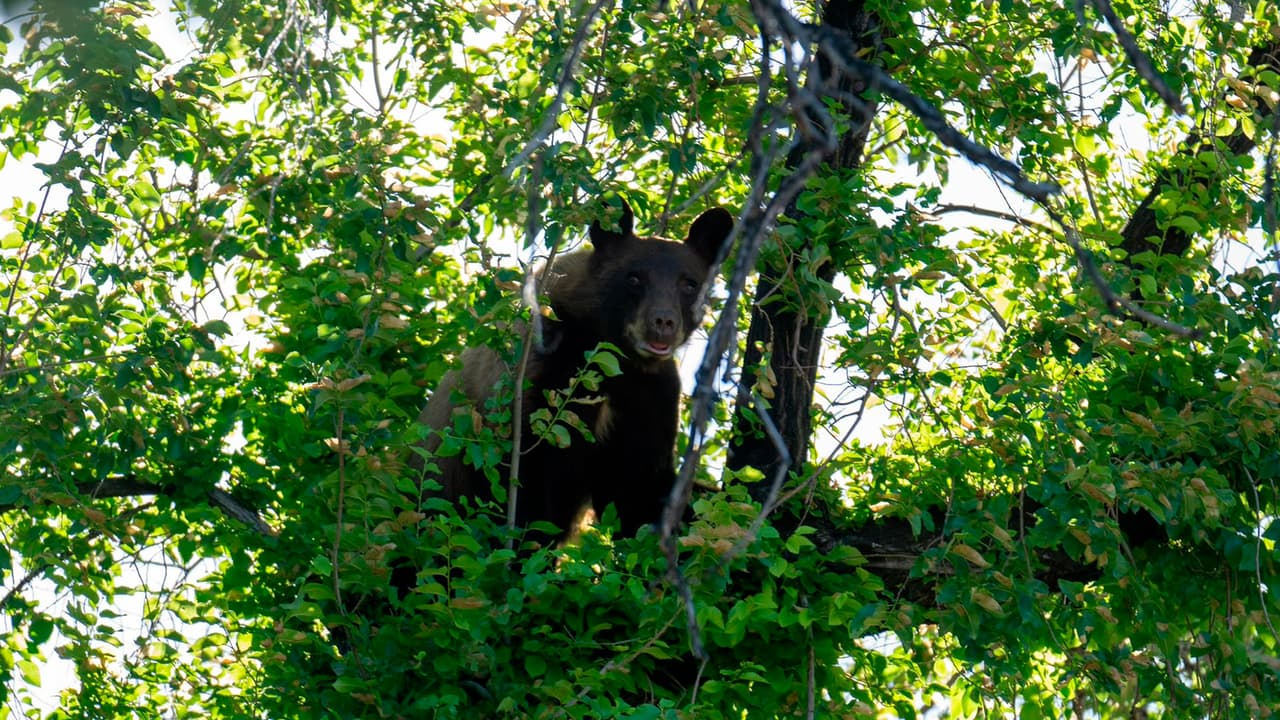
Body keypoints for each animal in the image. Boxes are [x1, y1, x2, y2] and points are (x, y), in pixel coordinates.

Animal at [415, 197, 734, 542]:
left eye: (689, 284)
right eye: (634, 278)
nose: (663, 322)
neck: (616, 361)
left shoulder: (651, 396)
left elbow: (640, 490)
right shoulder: (540, 378)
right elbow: (526, 484)